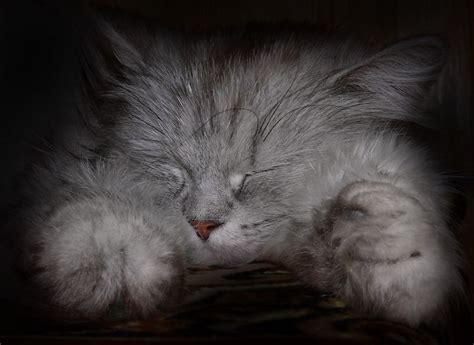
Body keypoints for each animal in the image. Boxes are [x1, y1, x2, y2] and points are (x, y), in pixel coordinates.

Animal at [11, 12, 462, 326]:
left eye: (252, 175)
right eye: (177, 171)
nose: (202, 226)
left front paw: (382, 244)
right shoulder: (60, 159)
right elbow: (95, 199)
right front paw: (116, 258)